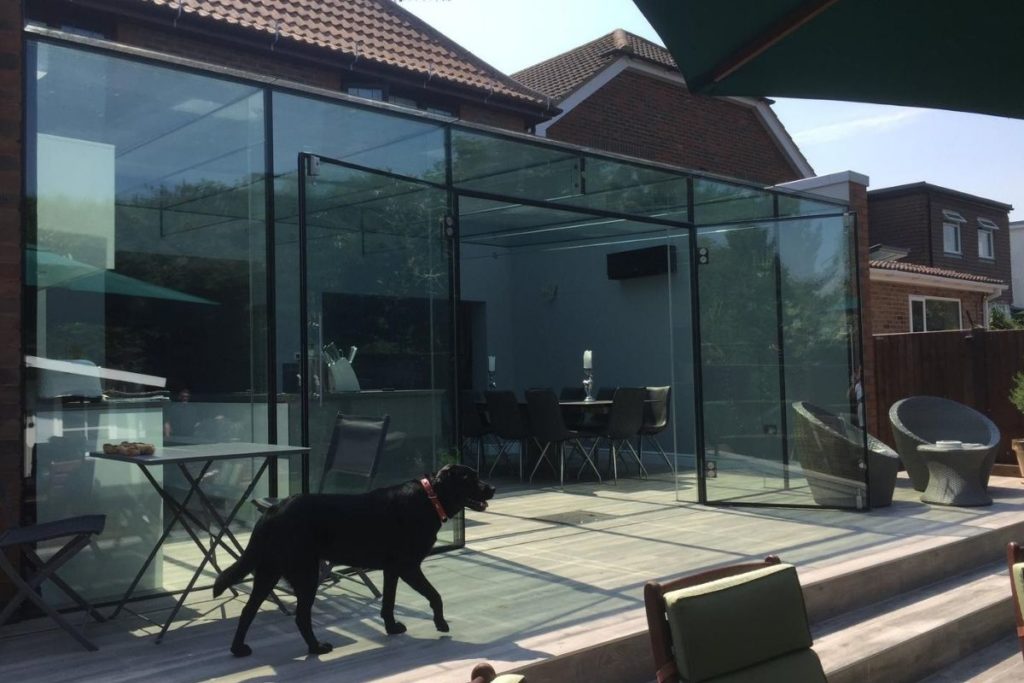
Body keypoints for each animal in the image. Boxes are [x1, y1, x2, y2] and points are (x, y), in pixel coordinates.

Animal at [214, 464, 493, 655]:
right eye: (469, 478)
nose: (491, 488)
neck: (430, 498)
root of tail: (272, 510)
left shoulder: (392, 569)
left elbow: (388, 602)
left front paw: (392, 628)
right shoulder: (408, 566)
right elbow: (435, 594)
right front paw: (441, 623)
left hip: (269, 571)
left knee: (249, 611)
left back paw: (238, 649)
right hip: (306, 574)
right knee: (301, 615)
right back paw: (317, 647)